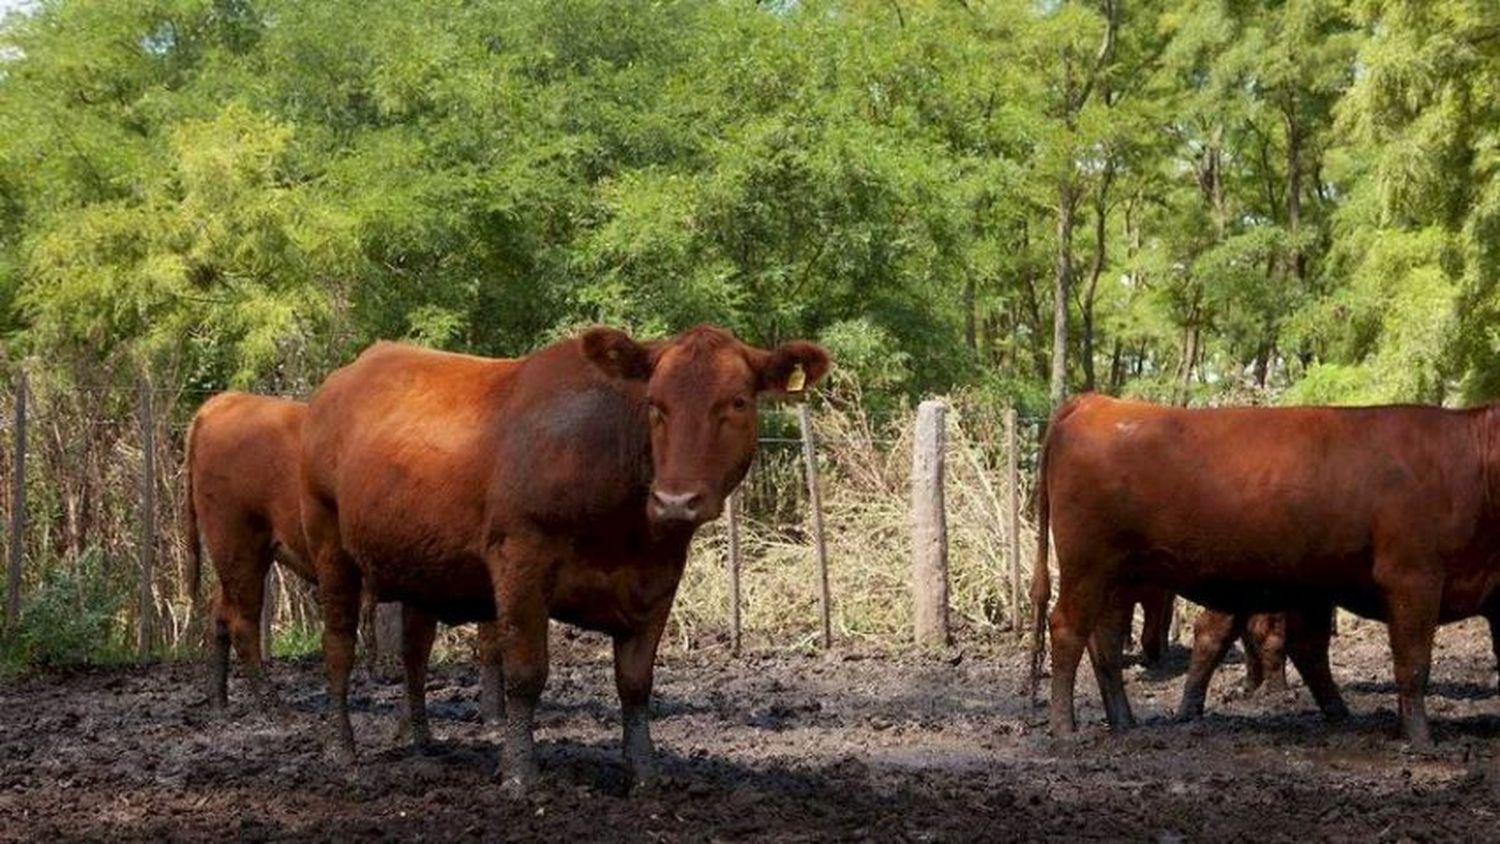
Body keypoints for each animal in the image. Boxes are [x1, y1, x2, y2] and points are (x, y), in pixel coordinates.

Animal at [183, 392, 501, 722]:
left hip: (235, 560)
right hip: (240, 548)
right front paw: (493, 713)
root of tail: (225, 401)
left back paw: (220, 703)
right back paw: (276, 708)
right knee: (241, 624)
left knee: (219, 614)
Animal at [297, 325, 828, 791]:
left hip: (420, 570)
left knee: (414, 652)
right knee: (338, 648)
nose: (675, 501)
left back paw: (422, 741)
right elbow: (526, 674)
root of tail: (342, 378)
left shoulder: (658, 579)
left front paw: (645, 774)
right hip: (330, 548)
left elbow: (635, 682)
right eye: (654, 404)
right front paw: (519, 774)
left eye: (737, 402)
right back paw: (343, 750)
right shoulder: (521, 560)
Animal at [1032, 392, 1500, 749]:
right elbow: (1414, 663)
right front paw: (1420, 739)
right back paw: (1064, 729)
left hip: (1120, 578)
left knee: (1106, 642)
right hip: (1087, 566)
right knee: (1068, 630)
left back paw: (1124, 722)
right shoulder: (1412, 578)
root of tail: (1097, 402)